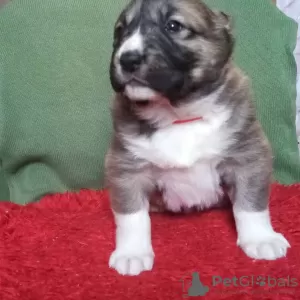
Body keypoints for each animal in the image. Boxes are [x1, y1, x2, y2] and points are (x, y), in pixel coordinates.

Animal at [105, 0, 290, 276]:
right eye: (120, 31)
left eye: (173, 26)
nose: (127, 59)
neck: (179, 116)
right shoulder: (126, 167)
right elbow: (132, 216)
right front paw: (132, 253)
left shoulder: (248, 156)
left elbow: (250, 204)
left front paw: (260, 238)